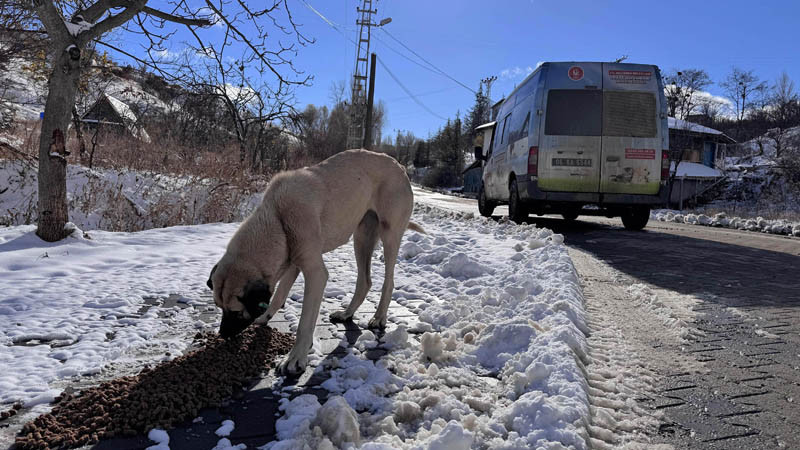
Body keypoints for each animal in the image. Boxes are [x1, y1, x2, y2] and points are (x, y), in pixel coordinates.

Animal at [208, 149, 424, 374]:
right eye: (218, 306)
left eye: (235, 312)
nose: (222, 334)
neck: (277, 218)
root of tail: (400, 166)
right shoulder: (292, 261)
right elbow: (279, 294)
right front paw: (266, 315)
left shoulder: (315, 273)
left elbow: (305, 322)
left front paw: (295, 357)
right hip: (362, 237)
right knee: (365, 281)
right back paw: (346, 313)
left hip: (389, 234)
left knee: (388, 281)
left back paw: (379, 316)